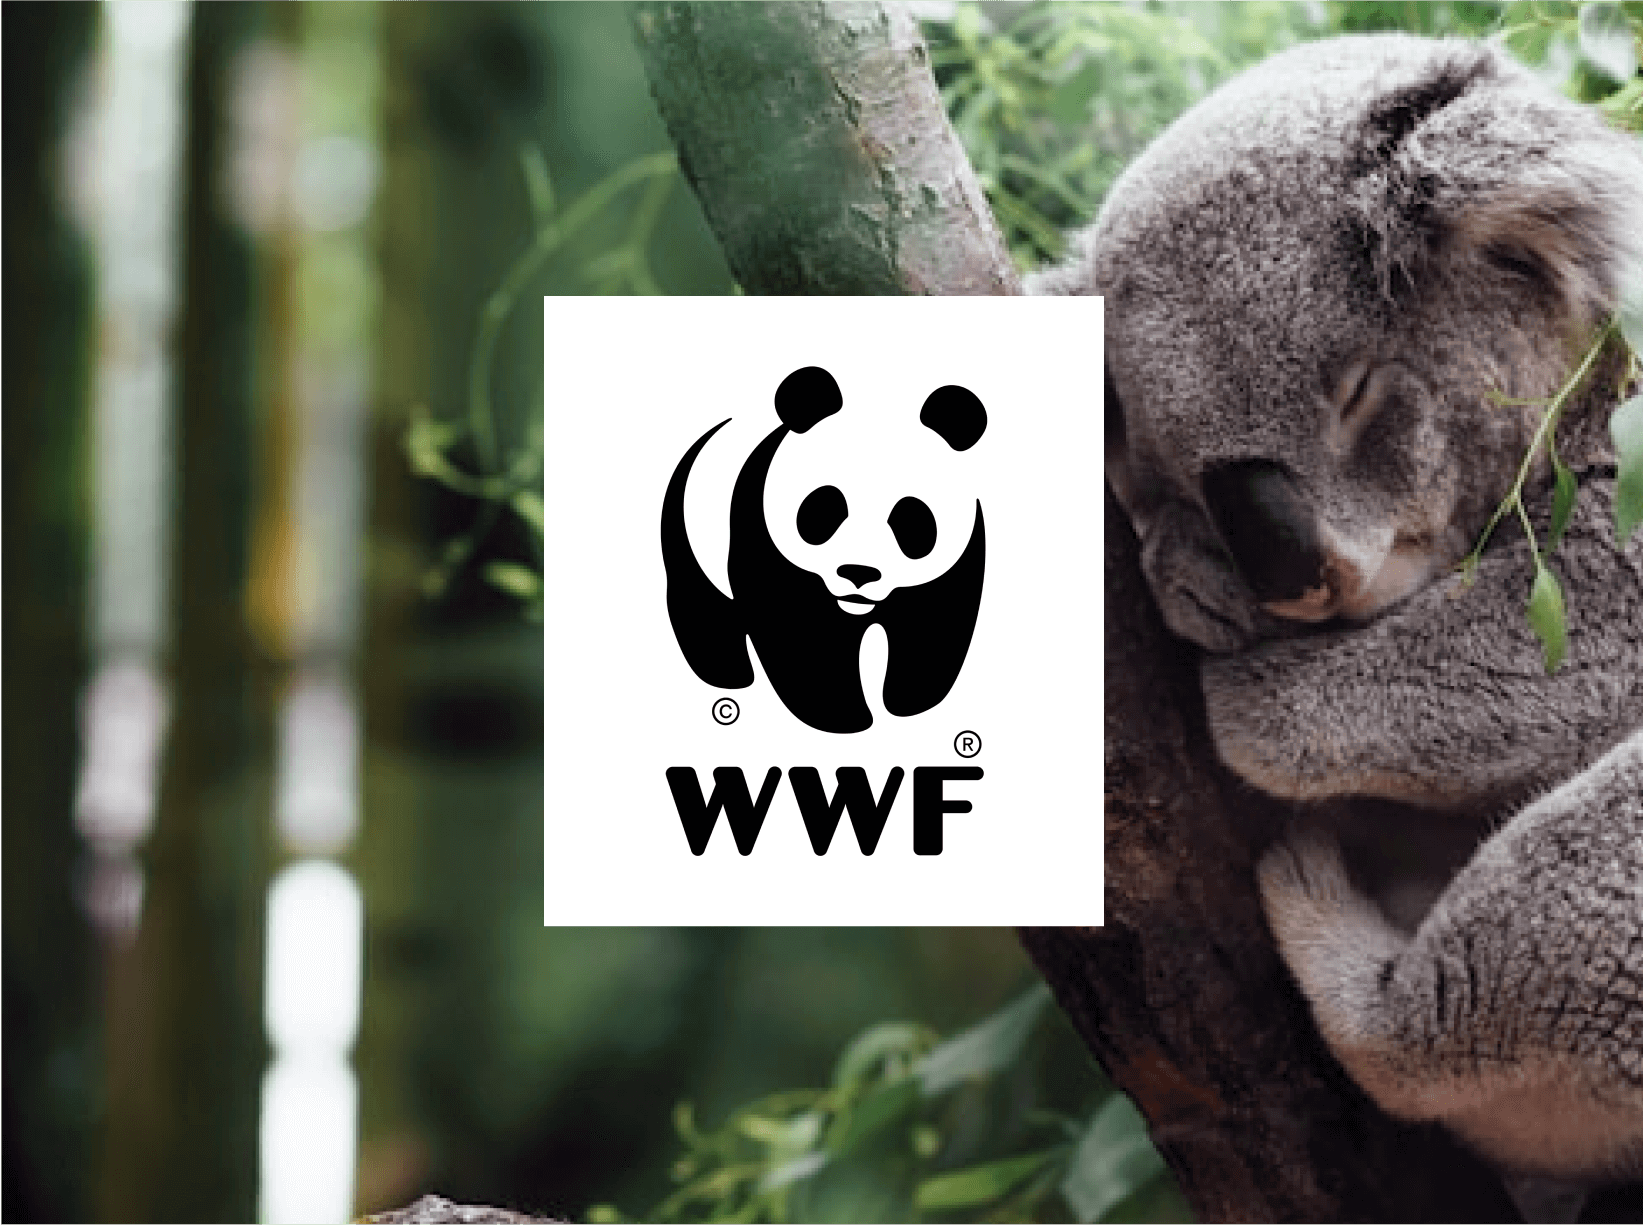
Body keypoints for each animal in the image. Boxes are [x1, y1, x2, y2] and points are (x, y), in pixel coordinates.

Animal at [660, 365, 987, 734]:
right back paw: (730, 677)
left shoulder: (958, 558)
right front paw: (843, 718)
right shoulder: (762, 538)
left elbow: (933, 622)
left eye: (912, 520)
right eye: (824, 509)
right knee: (701, 603)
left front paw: (908, 705)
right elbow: (799, 632)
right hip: (686, 527)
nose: (859, 573)